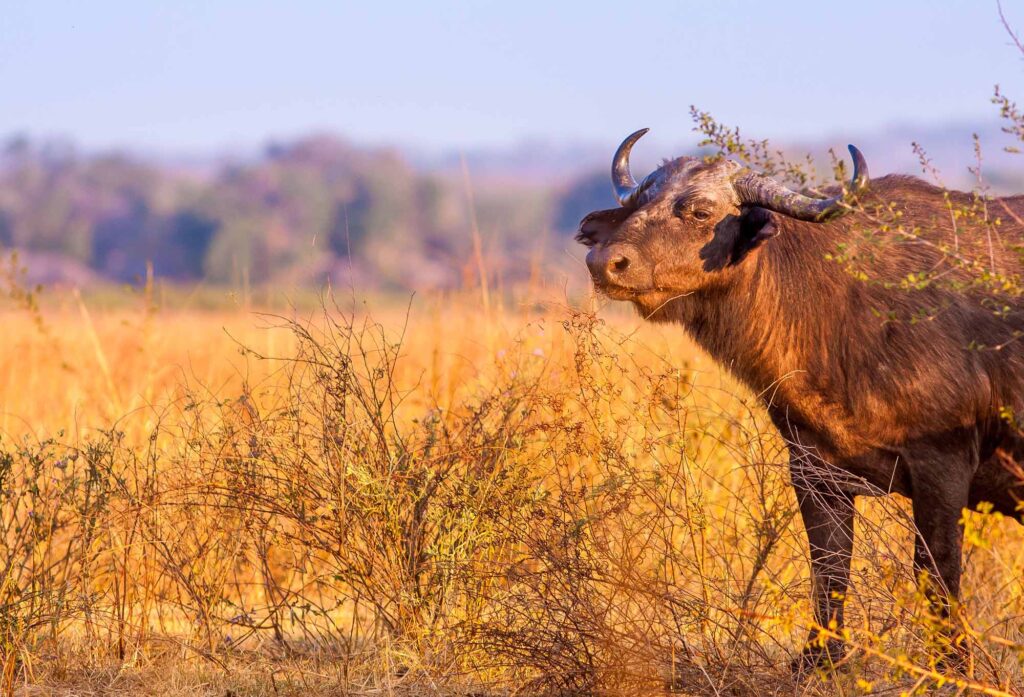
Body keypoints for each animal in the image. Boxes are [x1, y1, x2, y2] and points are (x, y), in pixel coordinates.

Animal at [581, 128, 1024, 667]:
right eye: (641, 202)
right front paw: (817, 662)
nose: (605, 263)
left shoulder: (944, 466)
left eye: (701, 211)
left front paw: (953, 668)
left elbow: (937, 576)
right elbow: (828, 572)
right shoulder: (814, 471)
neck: (838, 307)